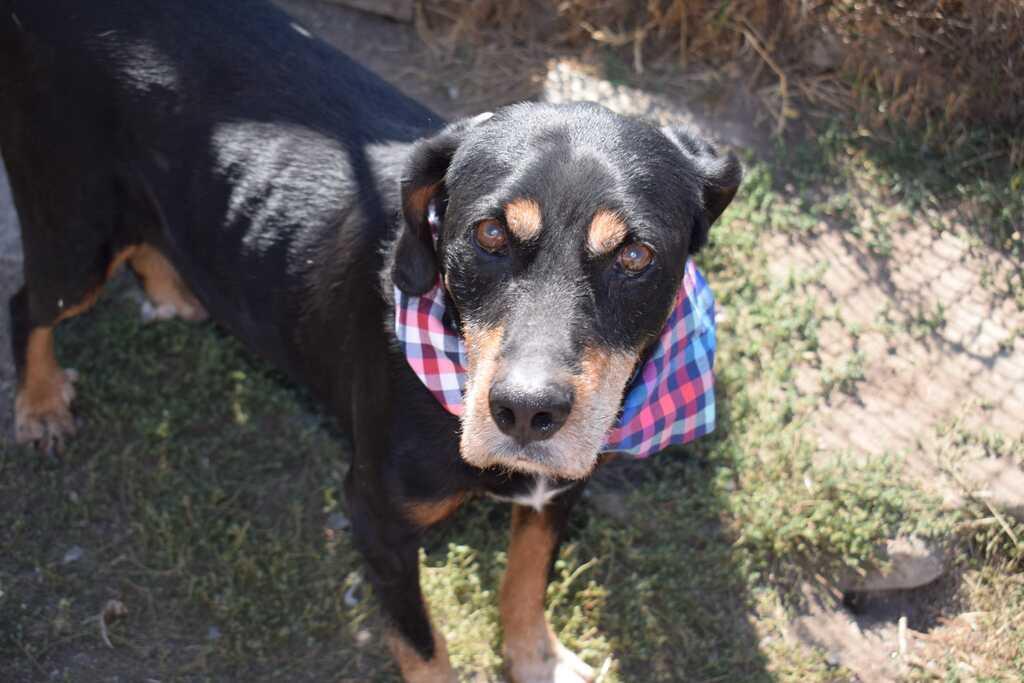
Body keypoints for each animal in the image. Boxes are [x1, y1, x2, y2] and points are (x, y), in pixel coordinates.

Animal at [0, 1, 740, 680]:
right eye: (488, 234)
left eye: (636, 255)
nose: (527, 413)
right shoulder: (376, 516)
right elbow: (423, 645)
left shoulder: (557, 489)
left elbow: (527, 582)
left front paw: (537, 660)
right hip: (74, 233)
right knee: (27, 305)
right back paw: (40, 404)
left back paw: (172, 288)